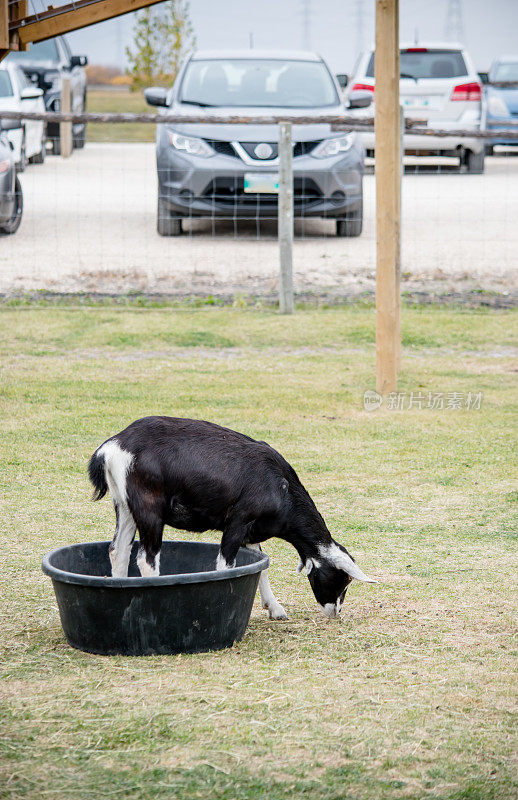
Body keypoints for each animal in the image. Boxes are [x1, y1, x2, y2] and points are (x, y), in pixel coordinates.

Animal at [89, 418, 378, 620]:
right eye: (344, 579)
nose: (335, 612)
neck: (282, 488)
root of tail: (112, 447)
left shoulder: (251, 532)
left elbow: (261, 564)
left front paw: (274, 608)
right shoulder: (238, 522)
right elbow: (226, 566)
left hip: (124, 506)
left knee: (118, 550)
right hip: (149, 509)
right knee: (146, 558)